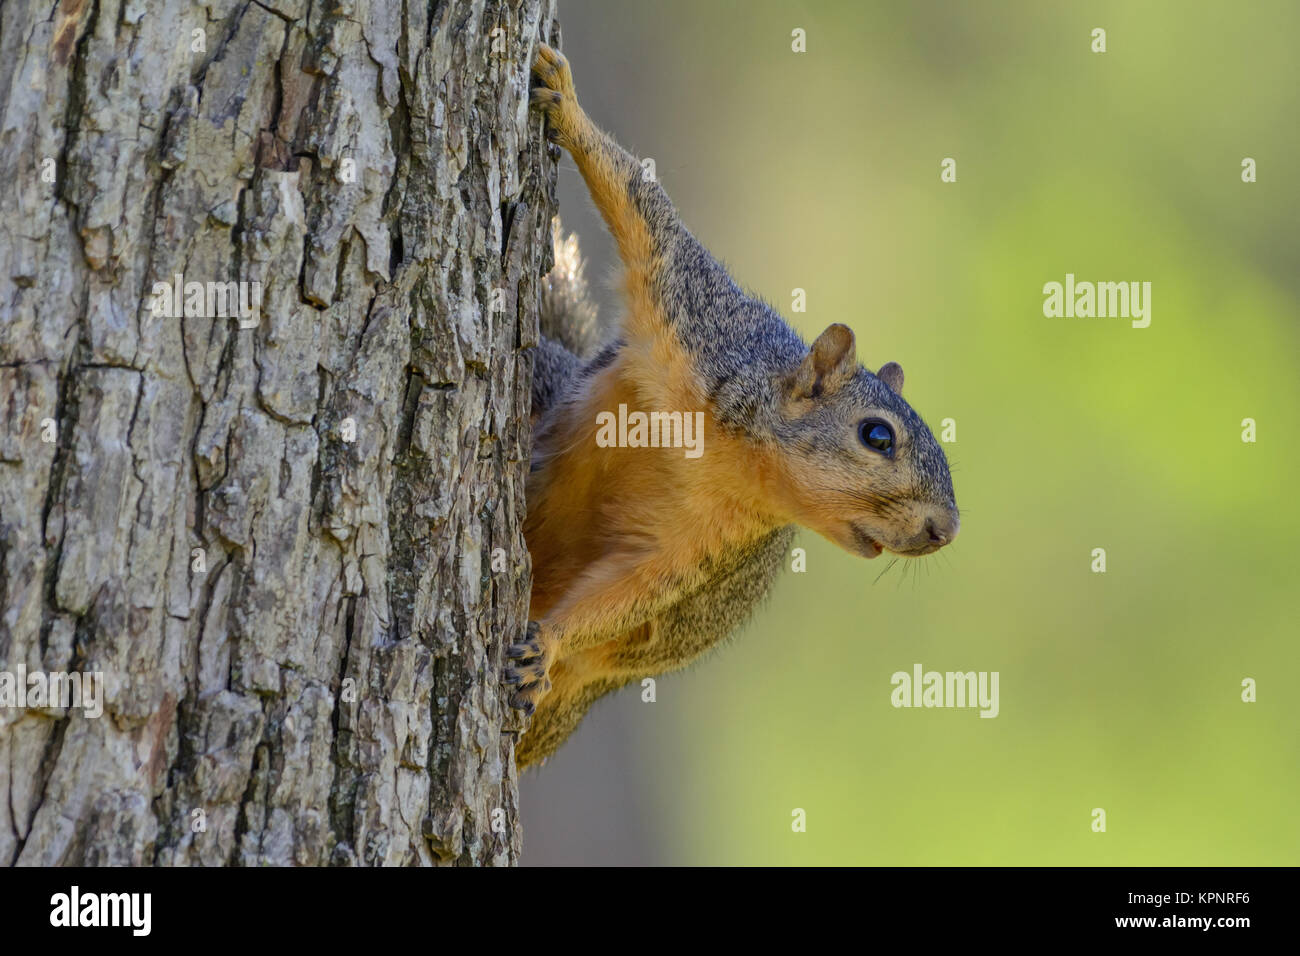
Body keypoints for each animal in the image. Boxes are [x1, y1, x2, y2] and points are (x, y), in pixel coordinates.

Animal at [512, 42, 961, 770]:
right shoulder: (695, 314)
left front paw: (546, 641)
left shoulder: (699, 549)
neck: (732, 460)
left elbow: (635, 591)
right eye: (877, 436)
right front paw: (566, 103)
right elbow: (644, 206)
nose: (945, 530)